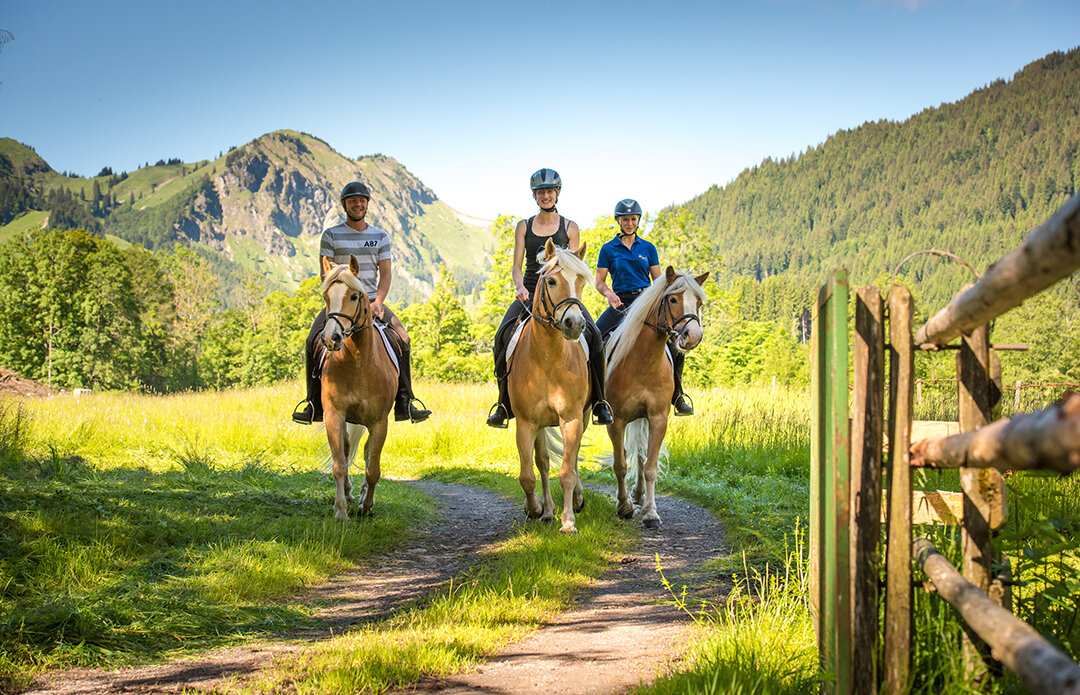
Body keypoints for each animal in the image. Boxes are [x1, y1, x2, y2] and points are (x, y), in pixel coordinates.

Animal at [317, 254, 399, 522]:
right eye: (326, 297)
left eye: (354, 296)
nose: (331, 338)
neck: (358, 362)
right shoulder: (334, 416)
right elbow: (339, 464)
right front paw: (341, 510)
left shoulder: (379, 422)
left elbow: (373, 467)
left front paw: (367, 505)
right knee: (346, 449)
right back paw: (350, 494)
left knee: (366, 454)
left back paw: (363, 496)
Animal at [505, 238, 591, 533]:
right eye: (552, 281)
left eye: (581, 281)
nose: (575, 324)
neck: (548, 357)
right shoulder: (526, 423)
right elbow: (528, 474)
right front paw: (535, 509)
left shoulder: (572, 418)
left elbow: (567, 471)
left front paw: (568, 522)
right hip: (540, 425)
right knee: (542, 462)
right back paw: (547, 511)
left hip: (585, 416)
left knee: (571, 459)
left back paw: (576, 500)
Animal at [609, 266, 708, 526]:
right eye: (672, 299)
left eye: (699, 303)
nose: (693, 336)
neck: (643, 361)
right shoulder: (616, 421)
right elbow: (620, 464)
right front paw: (624, 506)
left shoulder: (657, 418)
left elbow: (650, 466)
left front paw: (651, 513)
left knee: (641, 455)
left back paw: (639, 494)